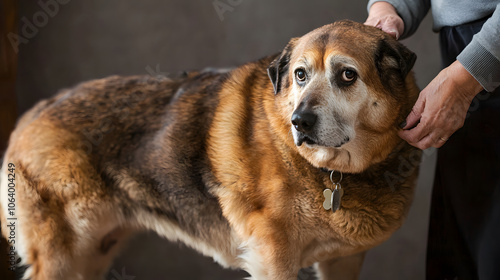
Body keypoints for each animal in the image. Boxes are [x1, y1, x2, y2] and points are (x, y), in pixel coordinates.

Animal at [0, 20, 422, 280]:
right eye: (300, 75)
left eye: (347, 75)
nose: (299, 122)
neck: (336, 173)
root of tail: (33, 114)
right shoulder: (274, 256)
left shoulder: (344, 260)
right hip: (61, 256)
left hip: (91, 255)